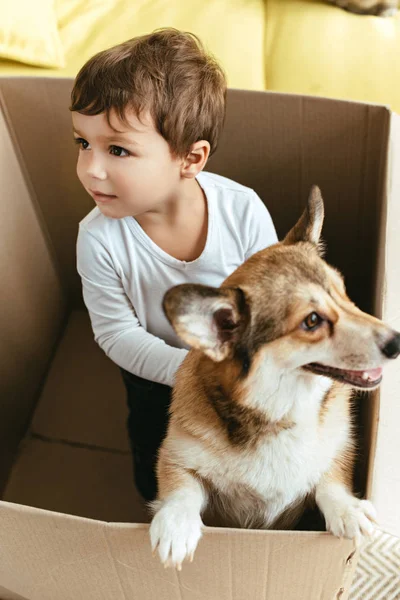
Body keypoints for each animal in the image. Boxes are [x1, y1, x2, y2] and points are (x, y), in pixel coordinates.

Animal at [148, 186, 398, 568]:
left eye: (344, 294)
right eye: (312, 321)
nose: (398, 343)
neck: (283, 409)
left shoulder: (340, 449)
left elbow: (330, 480)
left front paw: (348, 510)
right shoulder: (176, 456)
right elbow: (182, 489)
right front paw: (176, 526)